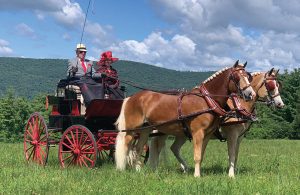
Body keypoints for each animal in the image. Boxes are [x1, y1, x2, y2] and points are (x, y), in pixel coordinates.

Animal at [115, 60, 255, 177]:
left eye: (248, 77)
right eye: (236, 77)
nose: (251, 94)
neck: (206, 100)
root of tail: (131, 98)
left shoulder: (207, 134)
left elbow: (201, 155)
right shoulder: (198, 132)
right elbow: (197, 155)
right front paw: (197, 176)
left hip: (145, 130)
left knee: (138, 149)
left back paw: (138, 171)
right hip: (131, 130)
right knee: (126, 146)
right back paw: (122, 169)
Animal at [149, 68, 284, 177]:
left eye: (278, 85)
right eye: (270, 85)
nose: (280, 104)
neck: (239, 105)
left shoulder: (239, 137)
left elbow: (236, 154)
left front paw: (234, 171)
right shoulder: (232, 134)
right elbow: (231, 154)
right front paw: (231, 175)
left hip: (181, 133)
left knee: (174, 148)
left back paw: (184, 168)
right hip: (164, 132)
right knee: (157, 148)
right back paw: (153, 169)